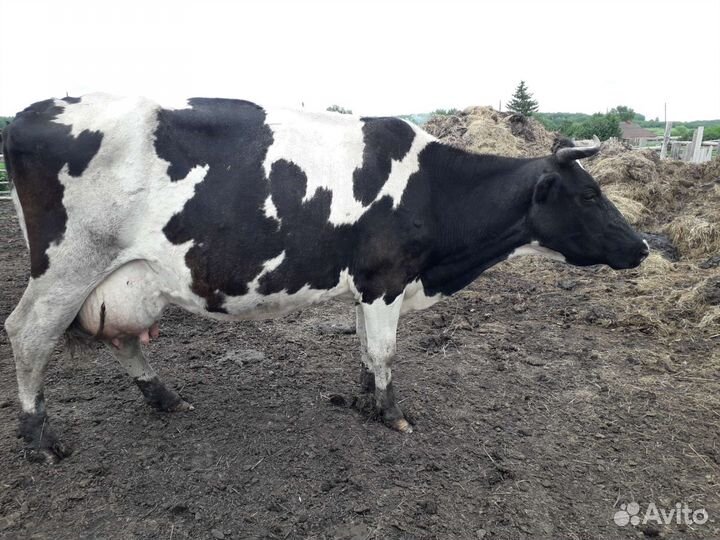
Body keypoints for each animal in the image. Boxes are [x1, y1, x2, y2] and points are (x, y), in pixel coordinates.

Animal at [3, 94, 649, 463]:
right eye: (590, 195)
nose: (642, 246)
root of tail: (35, 110)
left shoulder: (369, 283)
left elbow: (364, 346)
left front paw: (362, 400)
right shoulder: (387, 276)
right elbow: (385, 350)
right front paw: (391, 414)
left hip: (121, 275)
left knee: (120, 337)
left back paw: (163, 397)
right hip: (67, 266)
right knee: (29, 335)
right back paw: (40, 439)